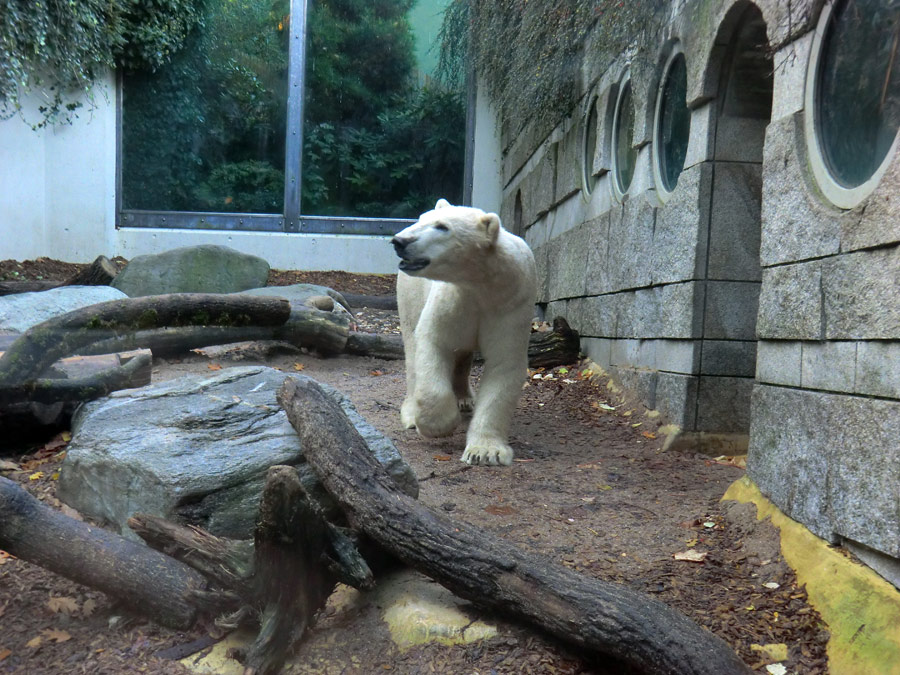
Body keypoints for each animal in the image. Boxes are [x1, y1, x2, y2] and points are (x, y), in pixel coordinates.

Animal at [392, 198, 536, 468]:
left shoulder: (511, 305)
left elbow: (504, 365)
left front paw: (485, 452)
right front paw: (439, 424)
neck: (482, 285)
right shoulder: (453, 299)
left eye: (442, 227)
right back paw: (413, 413)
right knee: (411, 343)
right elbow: (434, 343)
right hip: (410, 290)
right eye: (420, 220)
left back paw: (464, 399)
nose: (400, 241)